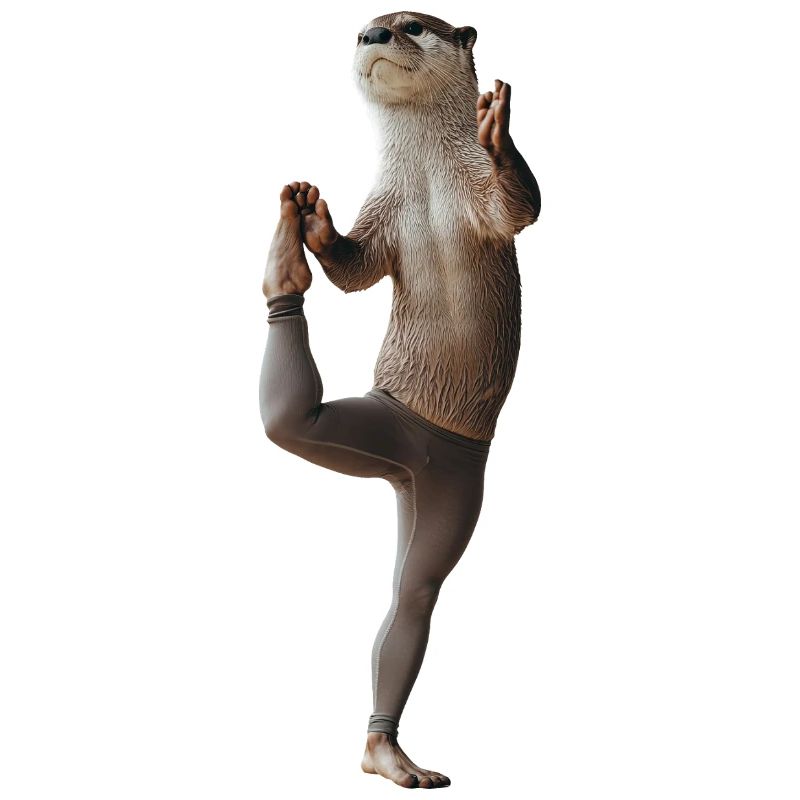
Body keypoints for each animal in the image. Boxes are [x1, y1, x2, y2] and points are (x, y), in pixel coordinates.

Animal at [259, 10, 540, 789]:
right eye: (366, 25)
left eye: (411, 25)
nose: (371, 37)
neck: (429, 188)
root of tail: (415, 449)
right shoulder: (382, 213)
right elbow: (353, 268)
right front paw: (317, 224)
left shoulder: (482, 202)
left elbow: (521, 205)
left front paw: (498, 129)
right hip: (390, 437)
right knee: (292, 421)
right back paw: (286, 258)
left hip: (438, 484)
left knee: (407, 596)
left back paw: (387, 755)